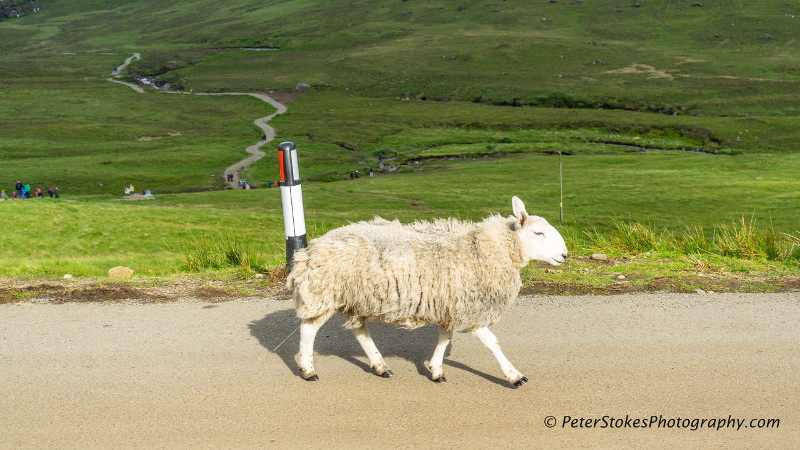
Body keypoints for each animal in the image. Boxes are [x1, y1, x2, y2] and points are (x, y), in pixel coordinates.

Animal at [284, 197, 564, 386]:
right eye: (538, 232)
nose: (564, 254)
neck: (485, 249)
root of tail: (310, 249)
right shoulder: (470, 308)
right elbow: (492, 342)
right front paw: (514, 375)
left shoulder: (453, 305)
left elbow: (444, 338)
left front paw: (436, 370)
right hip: (325, 291)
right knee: (309, 328)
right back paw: (308, 369)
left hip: (358, 296)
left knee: (359, 330)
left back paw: (380, 365)